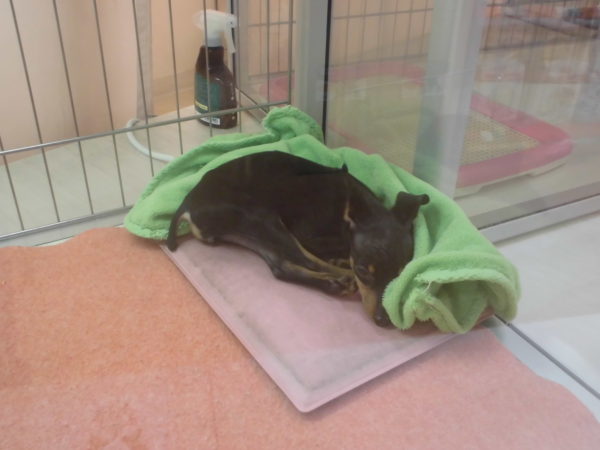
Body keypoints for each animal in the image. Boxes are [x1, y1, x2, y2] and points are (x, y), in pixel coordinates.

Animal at [167, 151, 429, 327]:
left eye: (401, 273)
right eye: (364, 270)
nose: (383, 320)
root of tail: (187, 204)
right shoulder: (309, 236)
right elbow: (327, 253)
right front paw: (343, 264)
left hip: (252, 232)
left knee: (280, 267)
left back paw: (332, 281)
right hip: (263, 217)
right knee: (303, 259)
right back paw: (340, 278)